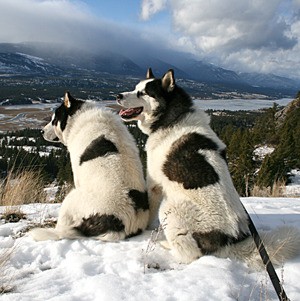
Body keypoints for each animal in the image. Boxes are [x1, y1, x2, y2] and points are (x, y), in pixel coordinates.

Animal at [117, 69, 300, 266]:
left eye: (143, 93)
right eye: (135, 88)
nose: (118, 96)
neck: (173, 119)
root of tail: (227, 242)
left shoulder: (155, 185)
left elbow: (149, 210)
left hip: (171, 207)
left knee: (188, 254)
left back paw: (165, 245)